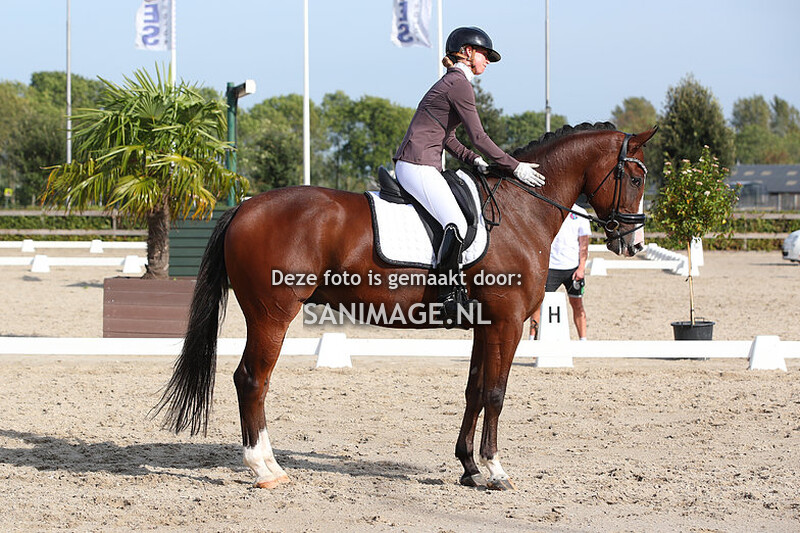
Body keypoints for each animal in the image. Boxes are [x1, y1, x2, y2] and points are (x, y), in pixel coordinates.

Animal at [154, 122, 657, 490]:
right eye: (635, 178)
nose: (633, 243)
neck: (519, 211)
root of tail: (244, 207)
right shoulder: (508, 322)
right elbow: (496, 393)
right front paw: (495, 471)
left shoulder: (485, 325)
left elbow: (475, 391)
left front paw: (469, 468)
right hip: (271, 314)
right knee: (252, 380)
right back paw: (265, 468)